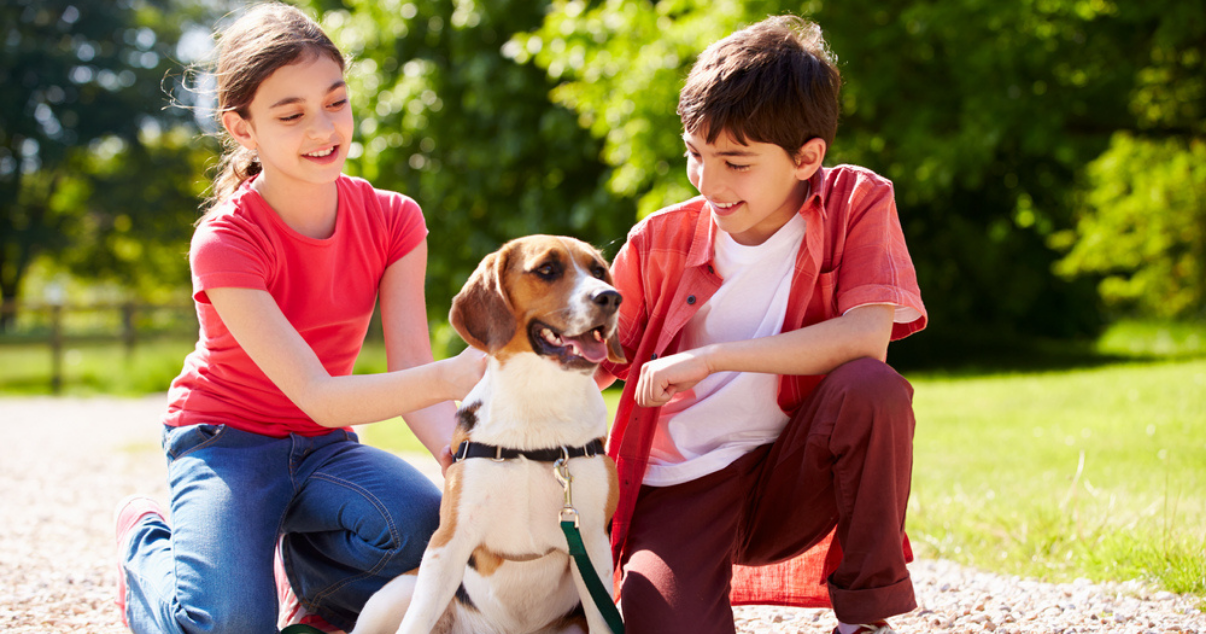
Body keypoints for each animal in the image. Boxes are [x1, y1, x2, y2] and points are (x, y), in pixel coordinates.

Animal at [352, 235, 627, 634]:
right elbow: (415, 621)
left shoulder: (592, 543)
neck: (537, 399)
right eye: (547, 269)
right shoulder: (448, 543)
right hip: (395, 593)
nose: (611, 297)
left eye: (599, 271)